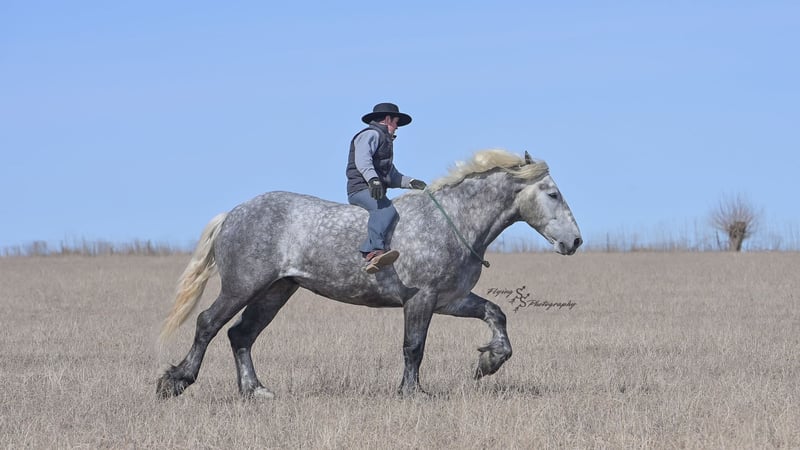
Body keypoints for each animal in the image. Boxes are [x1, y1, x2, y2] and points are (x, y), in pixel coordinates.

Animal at [157, 149, 582, 399]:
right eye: (552, 194)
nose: (575, 241)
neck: (453, 221)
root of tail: (234, 213)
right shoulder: (421, 299)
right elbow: (414, 347)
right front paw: (412, 393)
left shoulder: (451, 300)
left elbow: (497, 315)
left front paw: (490, 361)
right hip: (243, 286)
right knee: (208, 324)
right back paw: (175, 380)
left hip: (276, 291)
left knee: (241, 335)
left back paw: (255, 390)